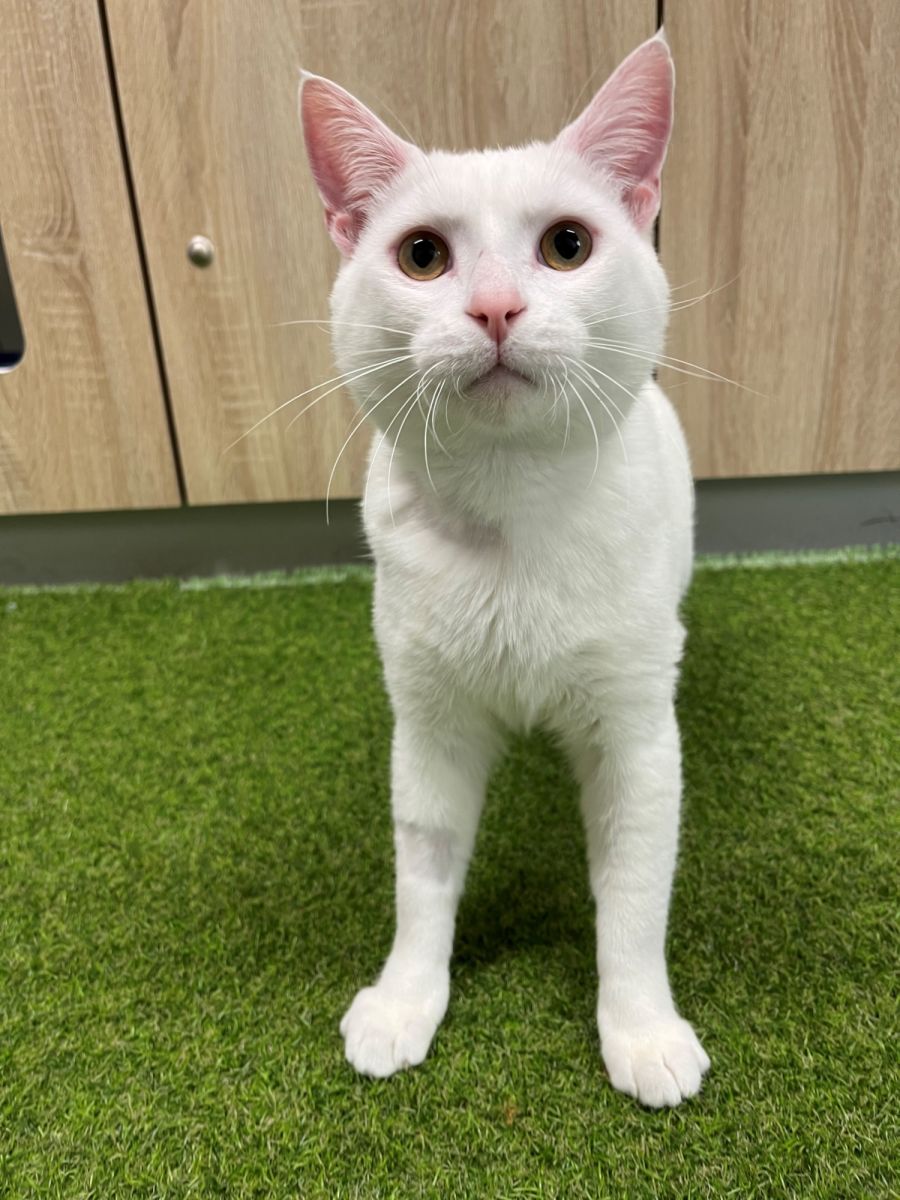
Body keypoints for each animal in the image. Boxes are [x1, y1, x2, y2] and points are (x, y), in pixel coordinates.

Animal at [299, 30, 710, 1108]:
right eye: (422, 255)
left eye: (568, 245)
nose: (494, 307)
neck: (514, 509)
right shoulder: (428, 722)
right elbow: (424, 873)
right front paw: (406, 1001)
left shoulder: (637, 734)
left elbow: (635, 892)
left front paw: (641, 1030)